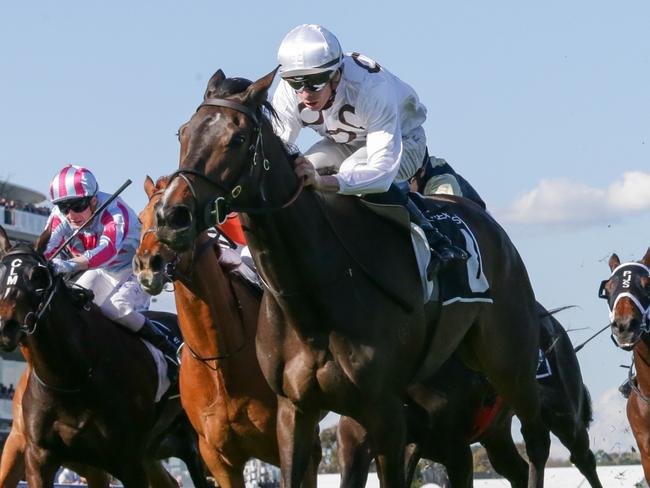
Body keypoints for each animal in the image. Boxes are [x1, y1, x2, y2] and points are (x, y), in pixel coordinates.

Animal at [0, 228, 205, 488]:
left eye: (37, 275)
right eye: (0, 270)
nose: (6, 326)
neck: (71, 377)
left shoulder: (127, 460)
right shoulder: (37, 456)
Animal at [131, 175, 318, 488]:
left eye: (177, 217)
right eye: (140, 218)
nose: (146, 265)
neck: (220, 358)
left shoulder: (283, 441)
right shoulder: (218, 458)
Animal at [154, 70, 548, 486]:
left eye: (237, 138)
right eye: (183, 133)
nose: (171, 216)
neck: (314, 296)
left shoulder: (385, 412)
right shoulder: (295, 412)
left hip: (511, 362)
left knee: (537, 440)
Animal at [336, 304, 600, 488]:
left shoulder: (455, 450)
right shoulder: (357, 438)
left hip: (564, 415)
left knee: (581, 457)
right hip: (496, 435)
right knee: (519, 470)